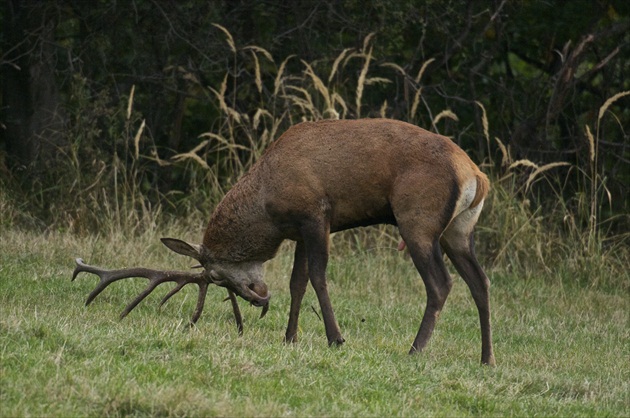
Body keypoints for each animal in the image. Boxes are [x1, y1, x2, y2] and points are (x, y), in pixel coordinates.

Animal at [73, 118, 498, 366]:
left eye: (216, 276)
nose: (258, 298)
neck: (268, 204)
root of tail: (476, 176)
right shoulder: (299, 231)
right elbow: (298, 282)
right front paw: (290, 337)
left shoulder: (316, 215)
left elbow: (319, 278)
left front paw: (336, 338)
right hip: (459, 231)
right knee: (480, 282)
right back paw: (486, 358)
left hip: (417, 219)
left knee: (441, 284)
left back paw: (414, 350)